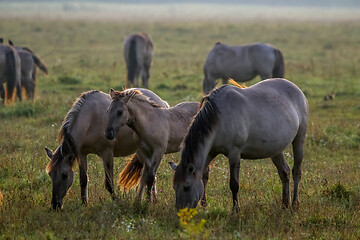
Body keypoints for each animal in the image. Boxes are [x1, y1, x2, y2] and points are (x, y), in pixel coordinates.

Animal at [170, 79, 308, 212]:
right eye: (174, 187)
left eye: (186, 187)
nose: (181, 212)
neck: (219, 117)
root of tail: (296, 89)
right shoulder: (210, 152)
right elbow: (204, 176)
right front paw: (204, 205)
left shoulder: (234, 154)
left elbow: (234, 184)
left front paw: (236, 209)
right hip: (276, 150)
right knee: (284, 172)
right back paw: (285, 204)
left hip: (299, 140)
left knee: (296, 172)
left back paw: (294, 204)